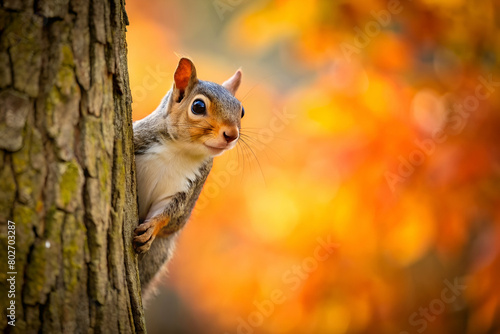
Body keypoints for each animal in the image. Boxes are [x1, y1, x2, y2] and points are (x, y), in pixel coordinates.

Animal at [132, 57, 243, 302]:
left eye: (241, 111)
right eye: (198, 107)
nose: (232, 135)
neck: (179, 150)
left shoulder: (188, 187)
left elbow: (172, 214)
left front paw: (152, 227)